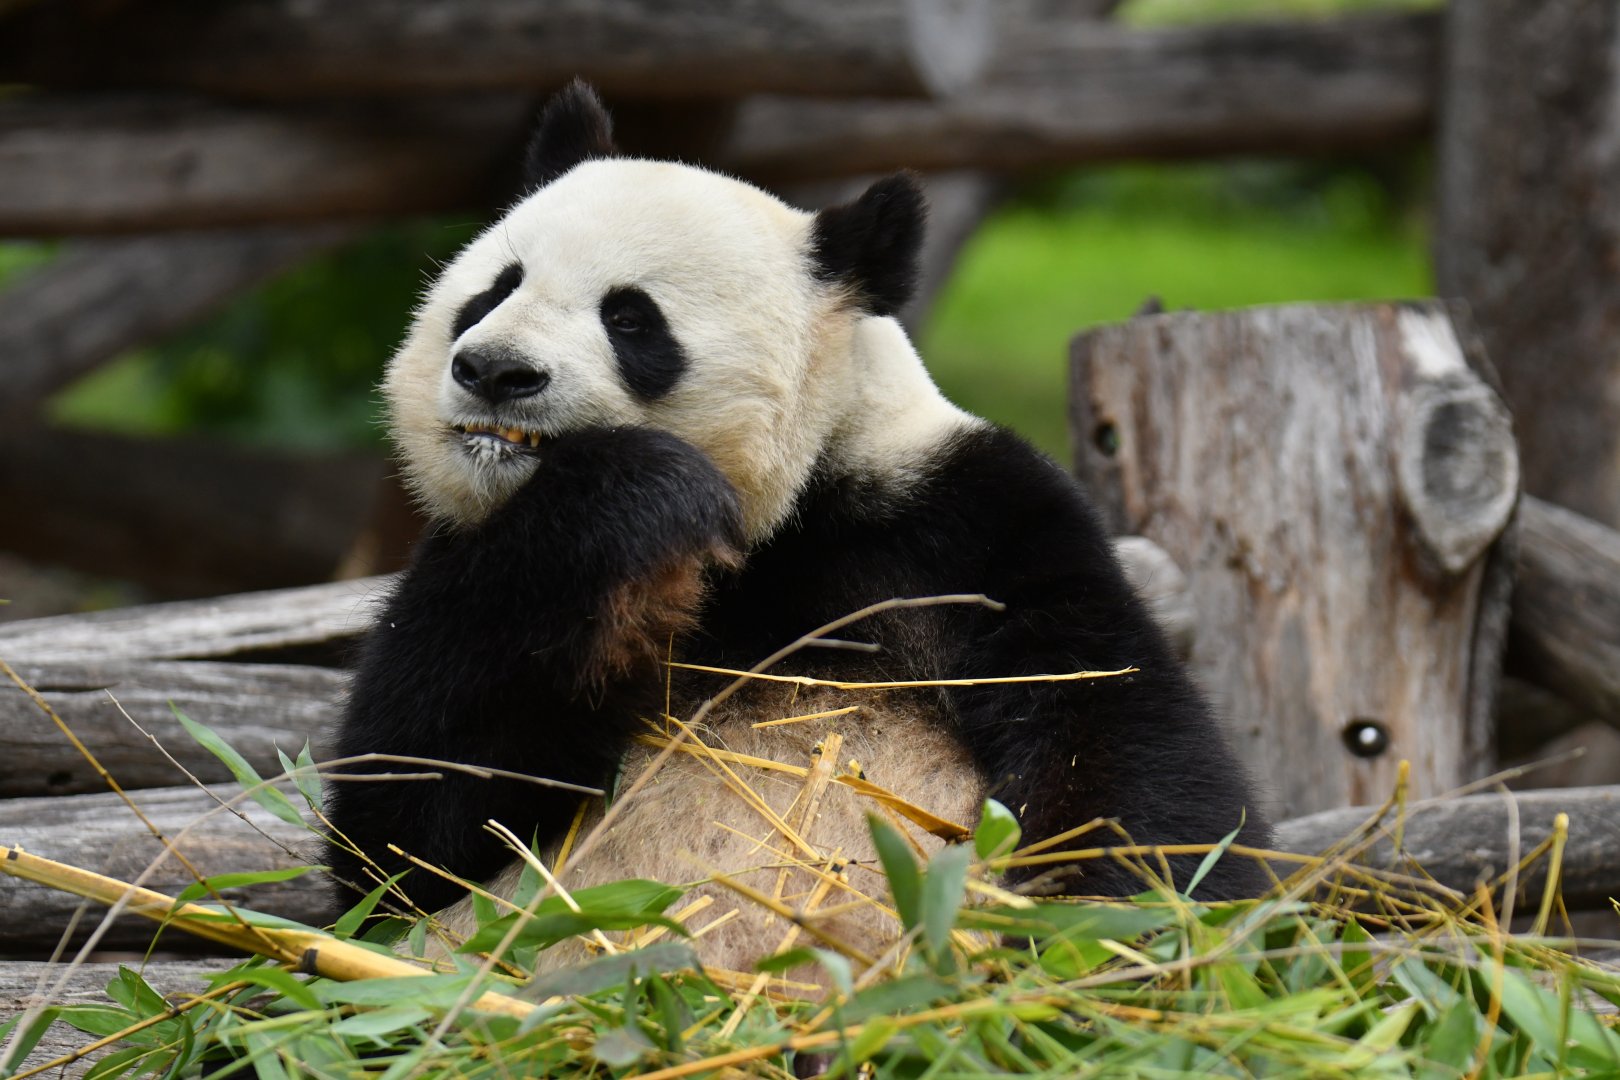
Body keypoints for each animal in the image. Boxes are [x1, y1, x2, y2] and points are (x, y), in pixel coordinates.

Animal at [323, 81, 1272, 972]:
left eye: (630, 317)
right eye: (495, 288)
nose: (494, 370)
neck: (776, 522)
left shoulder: (964, 523)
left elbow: (1119, 736)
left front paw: (1114, 949)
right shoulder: (482, 557)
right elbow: (407, 833)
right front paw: (636, 496)